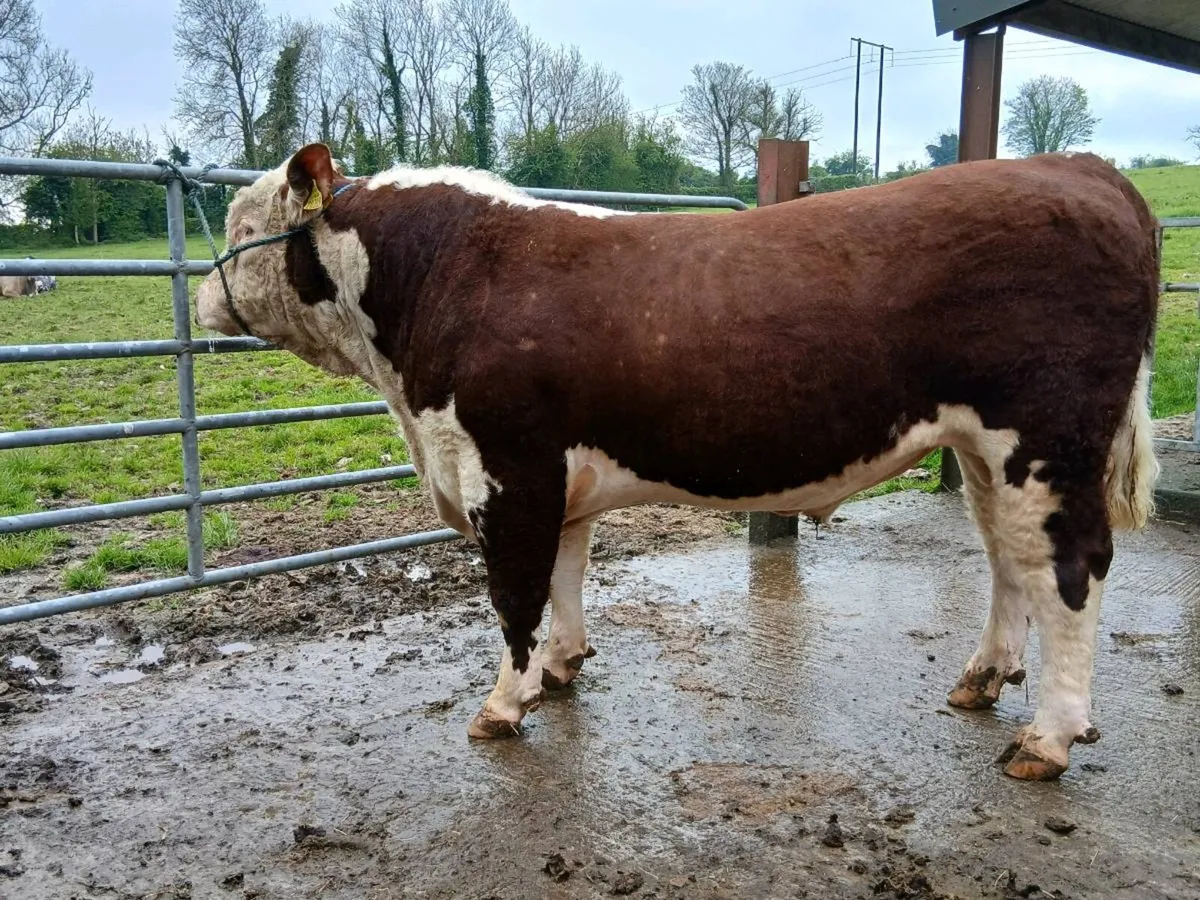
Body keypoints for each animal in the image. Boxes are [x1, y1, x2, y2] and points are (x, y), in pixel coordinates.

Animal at [194, 144, 1159, 780]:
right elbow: (567, 574)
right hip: (989, 454)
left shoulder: (508, 471)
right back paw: (982, 680)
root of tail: (1084, 167)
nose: (202, 293)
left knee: (1070, 569)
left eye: (243, 222)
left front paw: (504, 703)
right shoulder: (559, 482)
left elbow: (514, 595)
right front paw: (563, 668)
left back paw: (1047, 738)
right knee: (1008, 560)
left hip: (1048, 441)